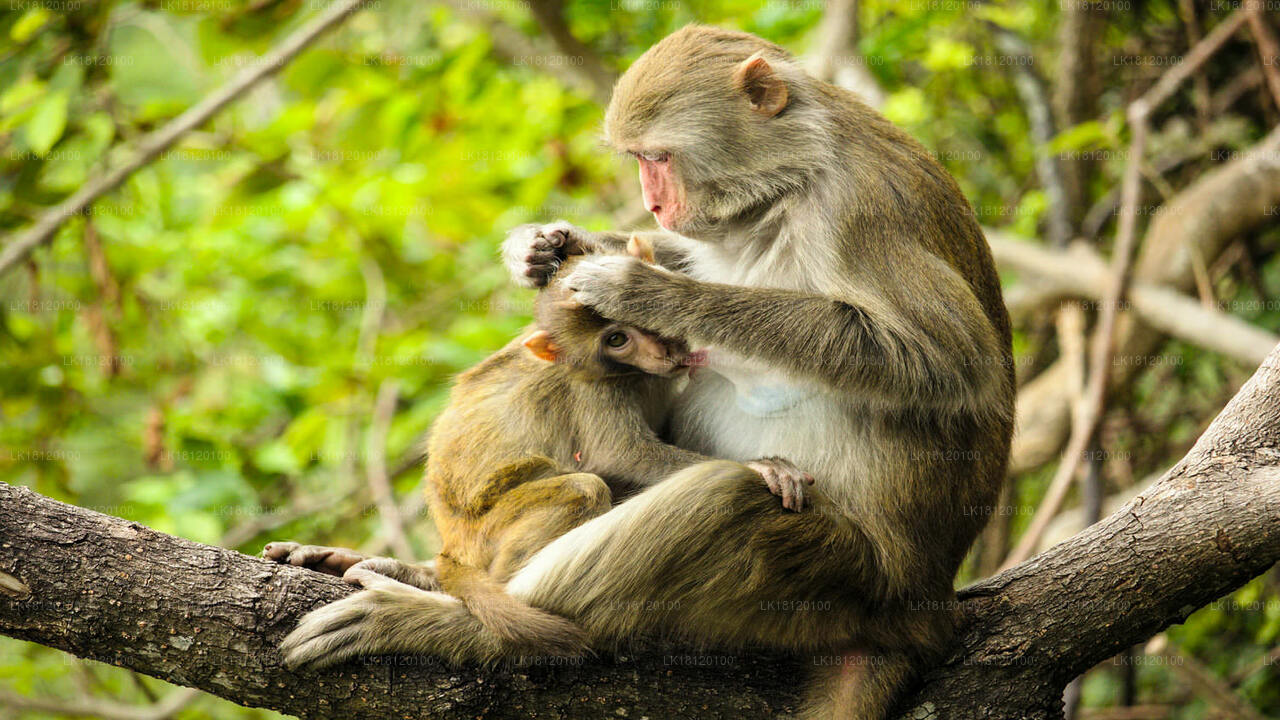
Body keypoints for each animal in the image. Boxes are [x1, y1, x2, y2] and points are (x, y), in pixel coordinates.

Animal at [278, 25, 1014, 720]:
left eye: (656, 158)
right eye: (638, 162)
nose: (653, 205)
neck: (791, 181)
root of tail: (919, 608)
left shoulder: (857, 210)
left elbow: (948, 364)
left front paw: (646, 288)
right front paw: (541, 248)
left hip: (841, 581)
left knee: (721, 501)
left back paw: (456, 624)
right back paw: (421, 576)